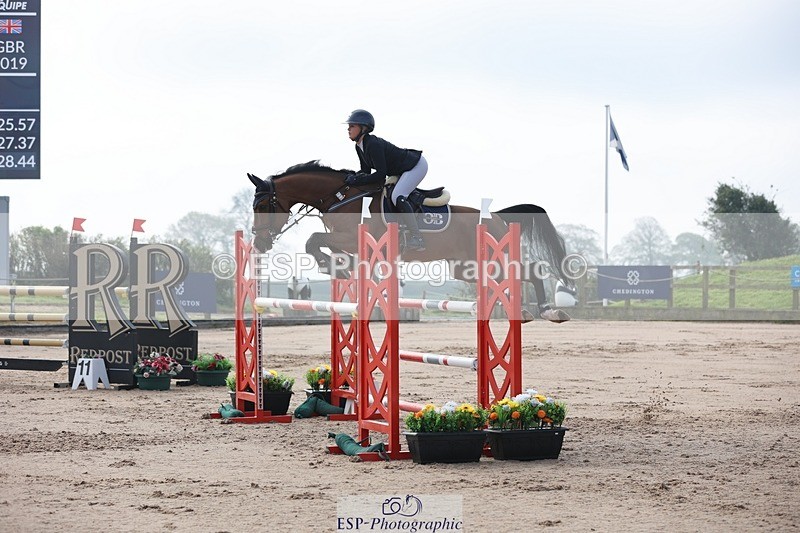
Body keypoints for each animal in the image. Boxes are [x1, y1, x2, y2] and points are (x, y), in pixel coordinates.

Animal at [247, 160, 572, 322]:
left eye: (262, 205)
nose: (259, 244)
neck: (341, 197)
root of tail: (497, 216)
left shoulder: (351, 237)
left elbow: (312, 240)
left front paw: (331, 266)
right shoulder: (347, 242)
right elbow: (322, 246)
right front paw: (337, 267)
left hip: (486, 260)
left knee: (529, 272)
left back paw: (547, 311)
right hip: (465, 267)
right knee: (514, 276)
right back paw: (529, 311)